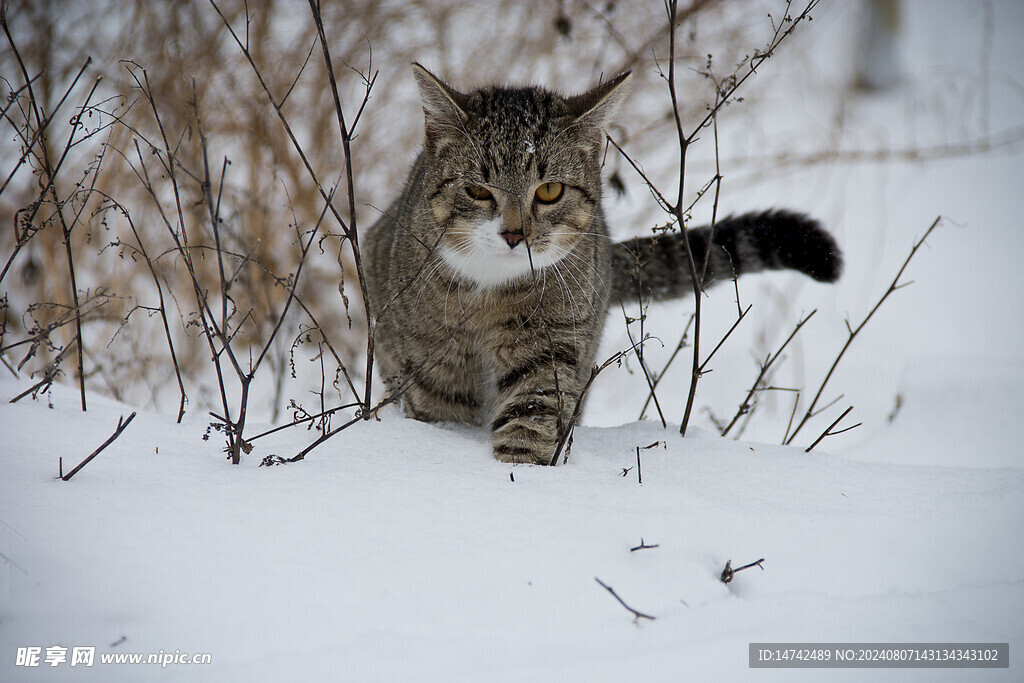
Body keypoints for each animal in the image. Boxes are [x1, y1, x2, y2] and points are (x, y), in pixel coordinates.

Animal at [364, 65, 843, 464]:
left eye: (550, 190)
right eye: (478, 191)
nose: (515, 235)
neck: (491, 291)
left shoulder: (553, 342)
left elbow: (532, 414)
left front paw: (520, 474)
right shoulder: (433, 357)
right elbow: (440, 410)